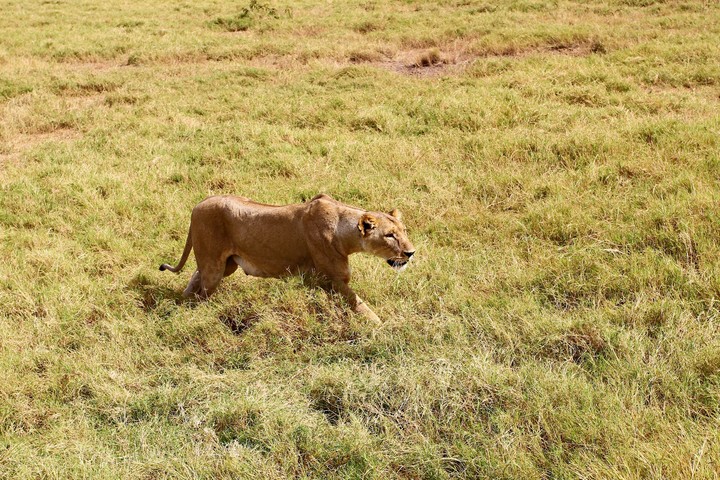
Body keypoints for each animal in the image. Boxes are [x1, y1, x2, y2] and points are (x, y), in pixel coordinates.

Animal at [159, 194, 416, 322]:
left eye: (403, 231)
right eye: (390, 235)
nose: (411, 253)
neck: (343, 228)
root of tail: (199, 204)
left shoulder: (322, 281)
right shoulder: (334, 279)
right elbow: (361, 306)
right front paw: (383, 327)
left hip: (226, 265)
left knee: (195, 276)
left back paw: (183, 303)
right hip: (214, 266)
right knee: (202, 291)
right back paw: (196, 313)